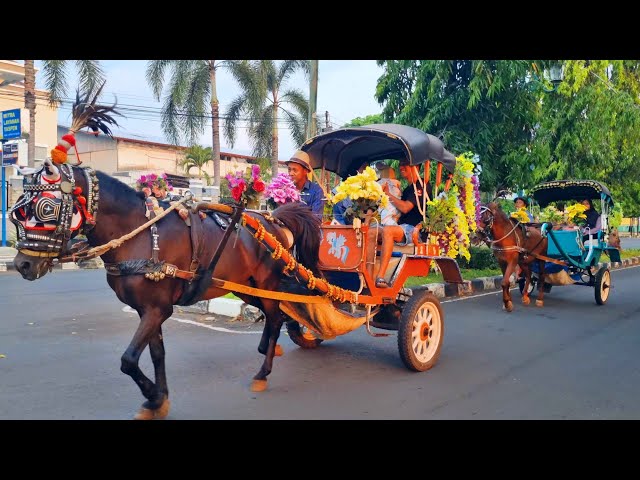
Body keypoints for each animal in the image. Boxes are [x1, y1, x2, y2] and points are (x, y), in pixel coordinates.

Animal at [10, 166, 320, 420]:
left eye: (46, 208)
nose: (22, 265)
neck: (139, 235)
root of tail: (273, 220)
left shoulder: (158, 309)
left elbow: (128, 360)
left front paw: (153, 395)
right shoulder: (148, 310)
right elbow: (157, 353)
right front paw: (159, 399)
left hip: (267, 283)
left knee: (276, 317)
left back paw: (263, 372)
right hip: (246, 285)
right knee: (272, 314)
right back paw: (268, 347)